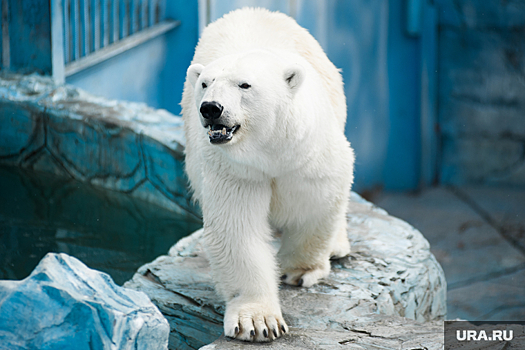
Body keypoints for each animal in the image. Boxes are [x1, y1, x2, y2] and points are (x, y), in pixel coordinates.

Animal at [179, 7, 352, 342]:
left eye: (244, 85)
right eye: (206, 83)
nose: (211, 108)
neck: (267, 147)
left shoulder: (307, 152)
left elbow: (317, 202)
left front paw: (299, 271)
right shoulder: (234, 170)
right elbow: (237, 230)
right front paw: (259, 322)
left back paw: (338, 245)